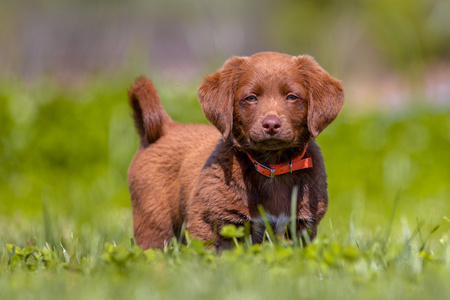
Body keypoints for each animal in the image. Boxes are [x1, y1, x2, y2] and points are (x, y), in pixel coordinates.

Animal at [127, 52, 344, 251]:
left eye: (291, 97)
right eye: (251, 98)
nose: (271, 124)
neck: (272, 167)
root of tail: (165, 127)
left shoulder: (302, 229)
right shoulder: (210, 224)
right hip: (153, 218)